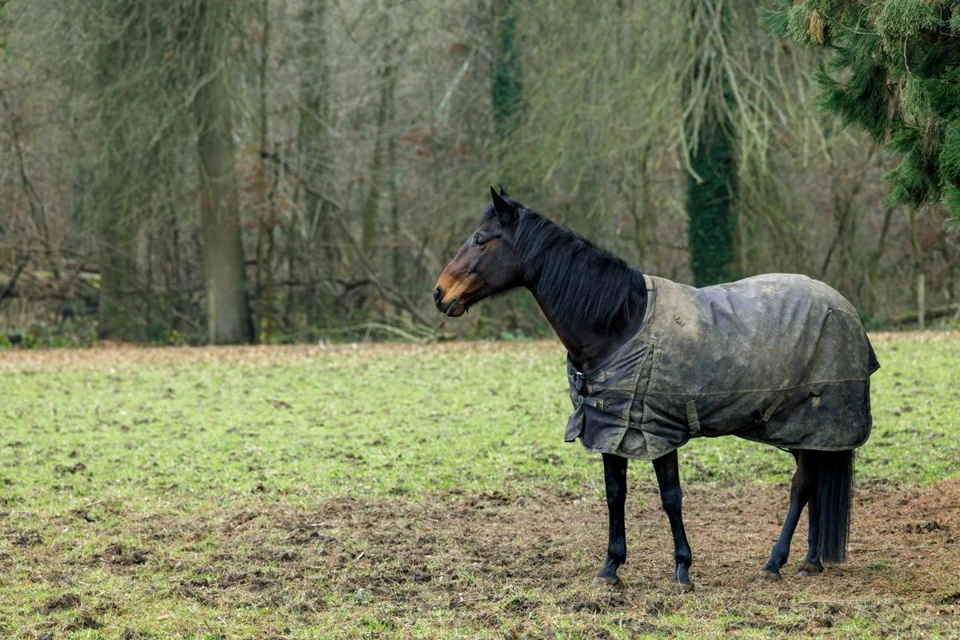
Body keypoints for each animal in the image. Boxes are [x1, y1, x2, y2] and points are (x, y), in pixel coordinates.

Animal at [433, 187, 878, 589]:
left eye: (480, 239)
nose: (440, 293)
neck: (620, 323)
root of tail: (843, 306)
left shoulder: (658, 430)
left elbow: (671, 497)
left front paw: (682, 570)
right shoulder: (610, 428)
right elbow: (615, 494)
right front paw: (610, 568)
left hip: (814, 422)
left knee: (801, 487)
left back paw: (776, 562)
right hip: (809, 431)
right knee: (815, 484)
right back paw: (810, 562)